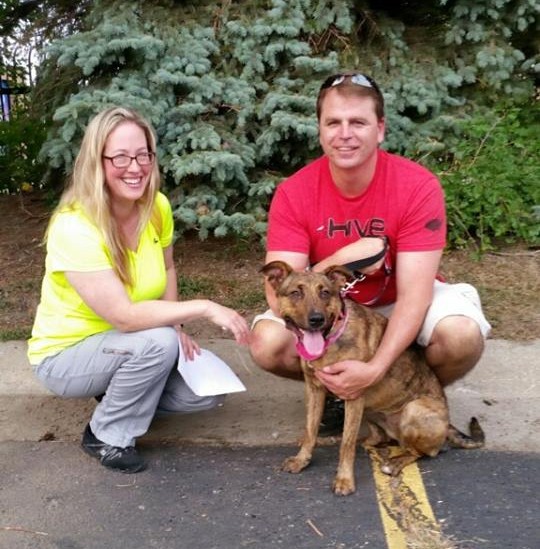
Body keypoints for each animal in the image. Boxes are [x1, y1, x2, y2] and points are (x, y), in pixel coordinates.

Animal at [262, 260, 486, 494]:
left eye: (325, 293)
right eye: (295, 293)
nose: (316, 320)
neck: (331, 337)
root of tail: (448, 423)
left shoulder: (353, 392)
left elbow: (347, 446)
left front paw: (344, 479)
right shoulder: (315, 390)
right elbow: (311, 430)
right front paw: (302, 460)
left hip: (413, 410)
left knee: (425, 451)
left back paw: (395, 463)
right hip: (370, 411)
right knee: (378, 437)